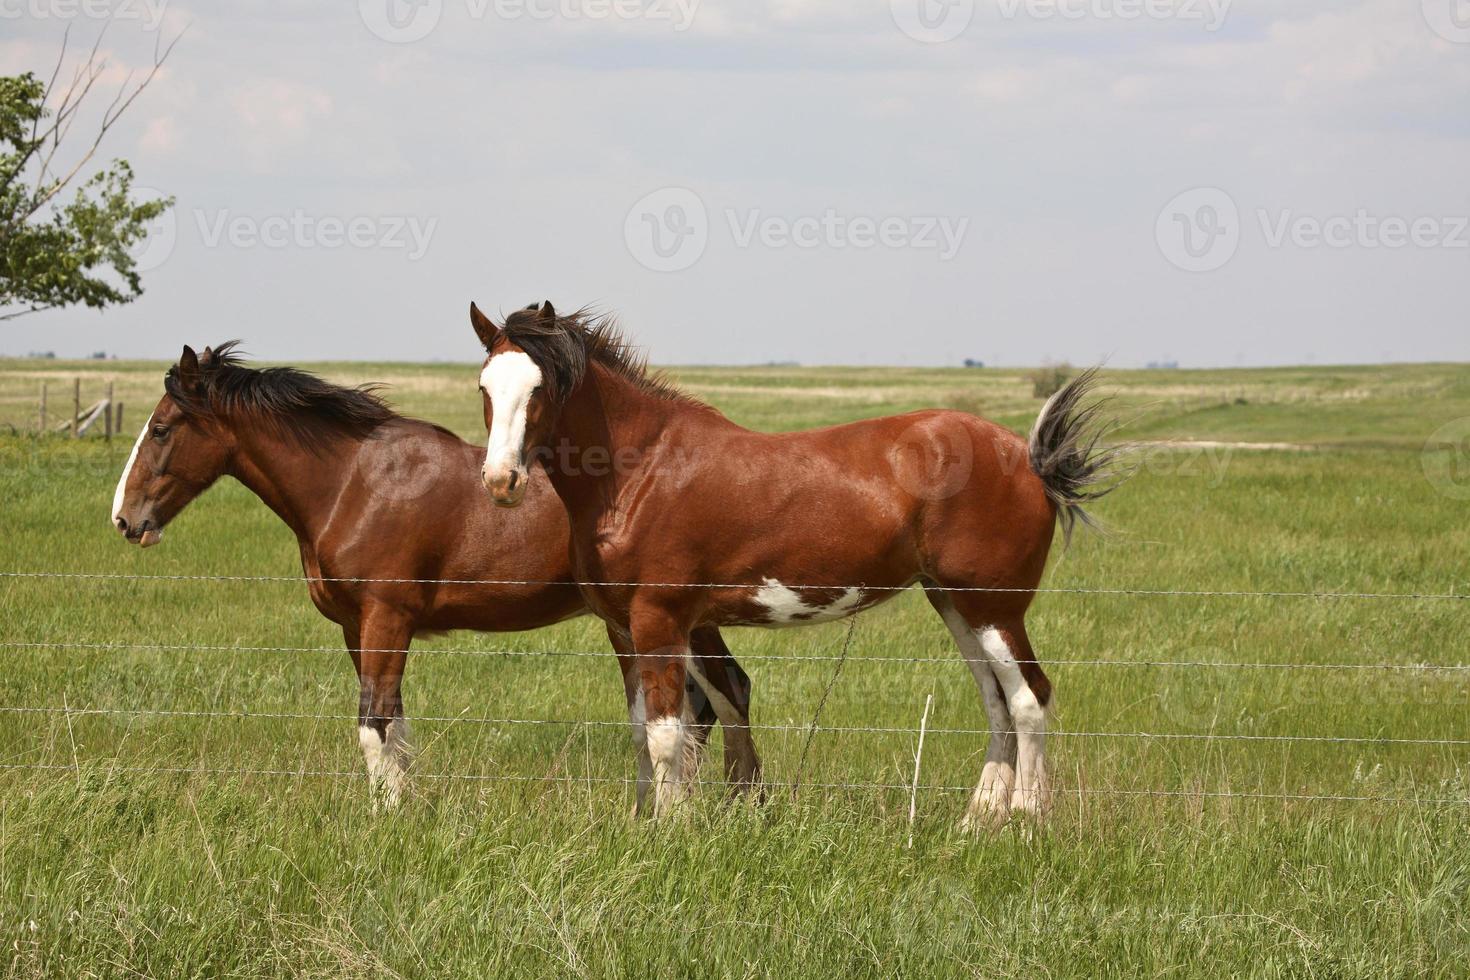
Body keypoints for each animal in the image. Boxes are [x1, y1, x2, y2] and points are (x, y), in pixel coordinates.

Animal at [108, 343, 764, 805]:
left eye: (161, 429)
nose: (125, 518)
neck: (354, 482)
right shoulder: (357, 628)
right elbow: (393, 726)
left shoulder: (386, 619)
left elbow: (374, 726)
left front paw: (386, 819)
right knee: (708, 705)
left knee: (722, 696)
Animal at [476, 302, 1117, 822]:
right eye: (485, 387)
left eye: (542, 388)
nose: (501, 481)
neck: (642, 471)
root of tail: (1029, 457)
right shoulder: (622, 629)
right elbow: (642, 731)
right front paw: (644, 822)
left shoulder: (660, 620)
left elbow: (666, 734)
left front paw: (673, 829)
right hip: (955, 605)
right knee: (996, 701)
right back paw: (977, 822)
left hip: (995, 608)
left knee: (1030, 698)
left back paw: (1025, 821)